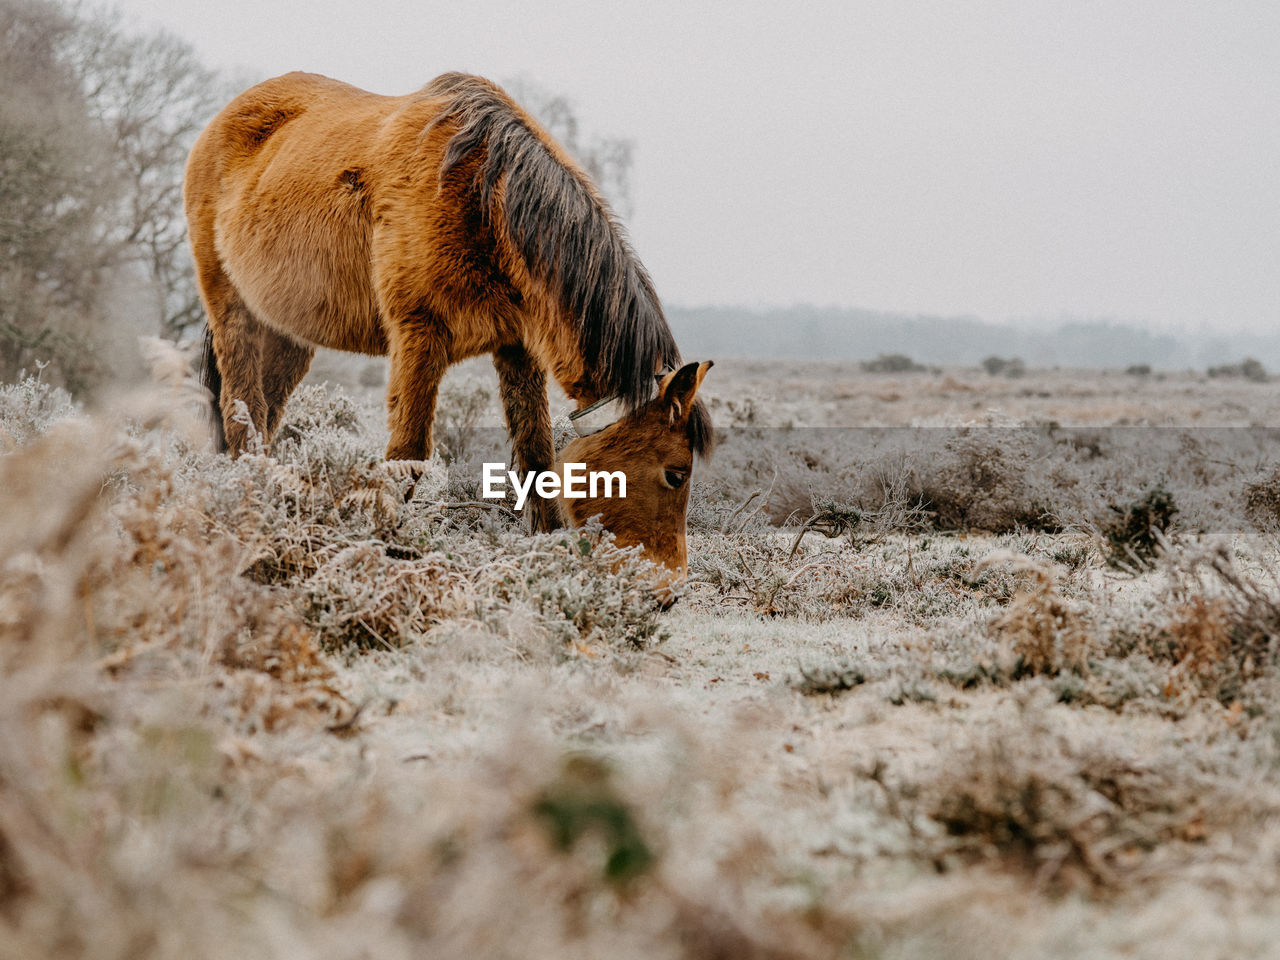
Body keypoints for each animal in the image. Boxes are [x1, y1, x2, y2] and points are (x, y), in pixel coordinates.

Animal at [186, 73, 716, 578]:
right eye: (675, 473)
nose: (668, 589)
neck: (483, 197)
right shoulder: (419, 336)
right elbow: (408, 455)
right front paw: (379, 552)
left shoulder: (517, 347)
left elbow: (536, 455)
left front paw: (547, 554)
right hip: (232, 309)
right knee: (241, 414)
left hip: (287, 332)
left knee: (266, 415)